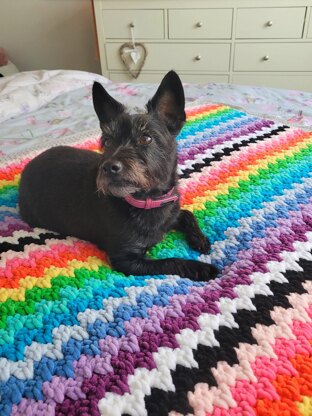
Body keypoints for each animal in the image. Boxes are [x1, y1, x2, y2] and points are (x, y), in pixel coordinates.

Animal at [18, 71, 217, 282]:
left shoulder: (171, 215)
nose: (108, 167)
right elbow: (170, 261)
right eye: (107, 141)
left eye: (146, 138)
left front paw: (200, 239)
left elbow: (187, 214)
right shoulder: (126, 260)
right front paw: (201, 268)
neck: (148, 200)